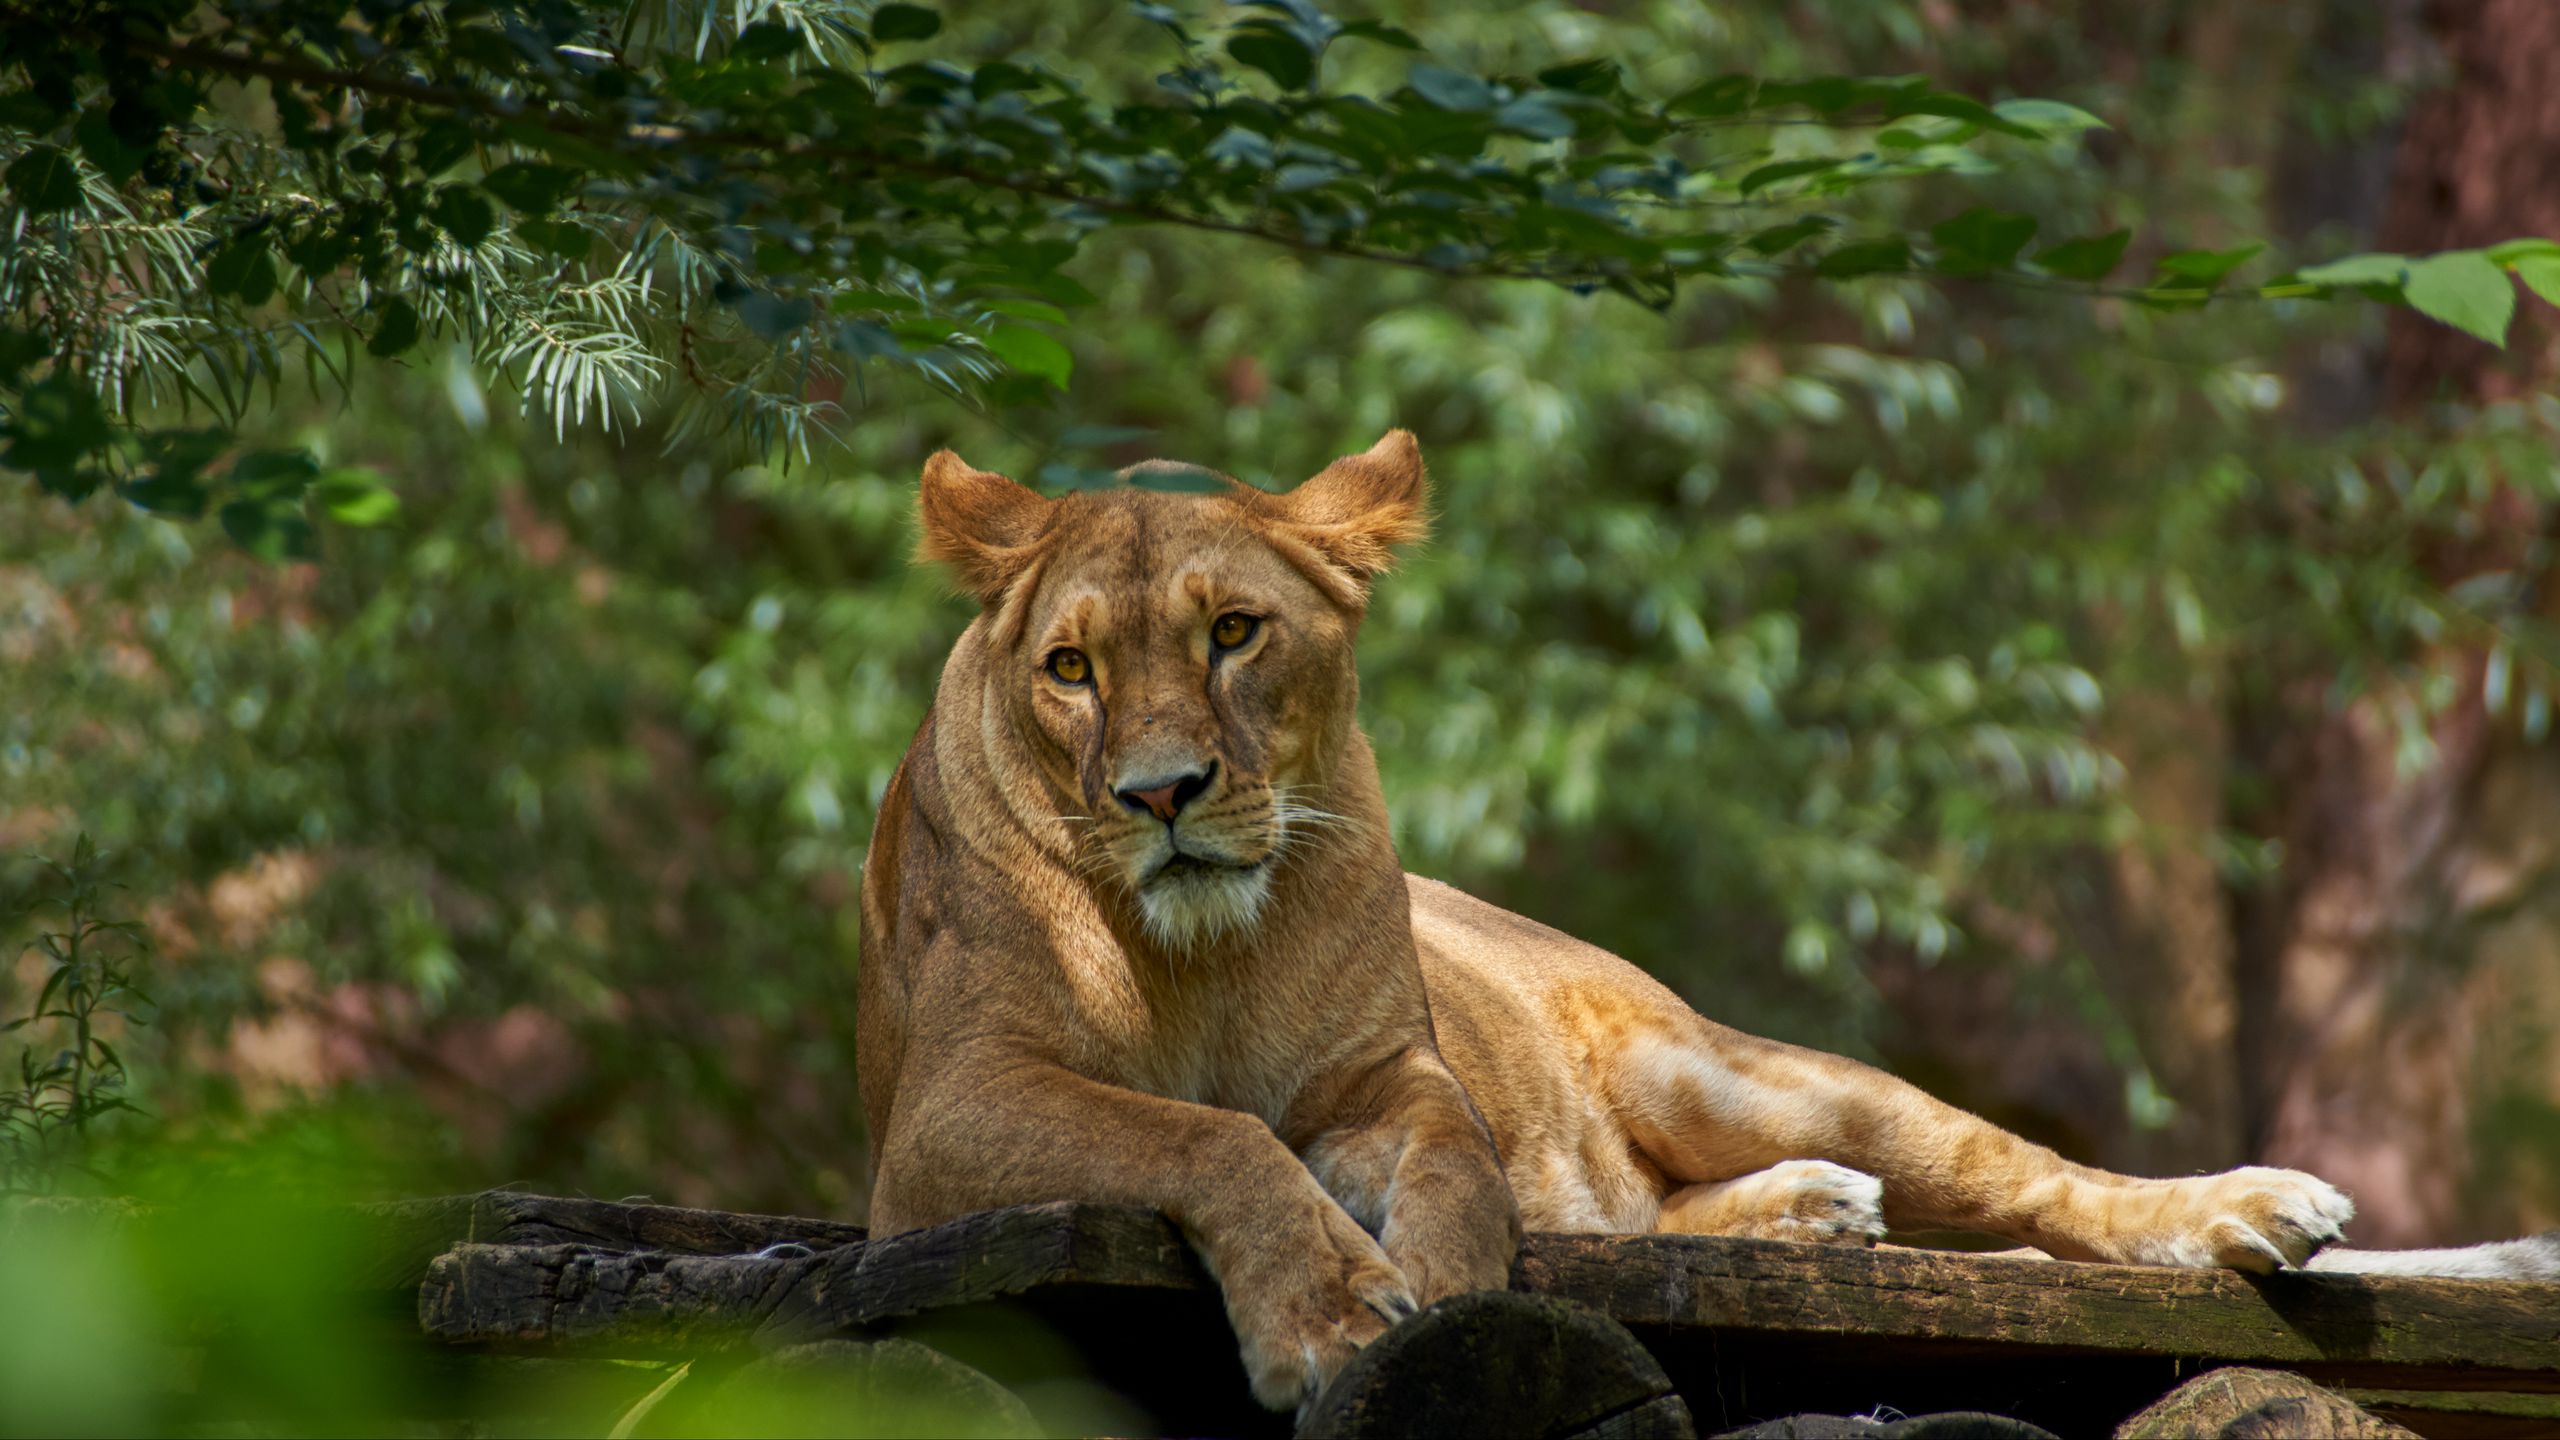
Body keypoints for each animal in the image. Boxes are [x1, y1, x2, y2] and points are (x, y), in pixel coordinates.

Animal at [856, 431, 2556, 1413]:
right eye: (1071, 669)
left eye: (1233, 632)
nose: (1162, 794)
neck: (1203, 956)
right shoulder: (940, 1126)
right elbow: (1206, 1136)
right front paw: (1336, 1311)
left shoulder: (1396, 1082)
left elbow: (1458, 1174)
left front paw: (1443, 1311)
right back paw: (1812, 1214)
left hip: (1734, 1072)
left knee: (2035, 1183)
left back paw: (2257, 1212)